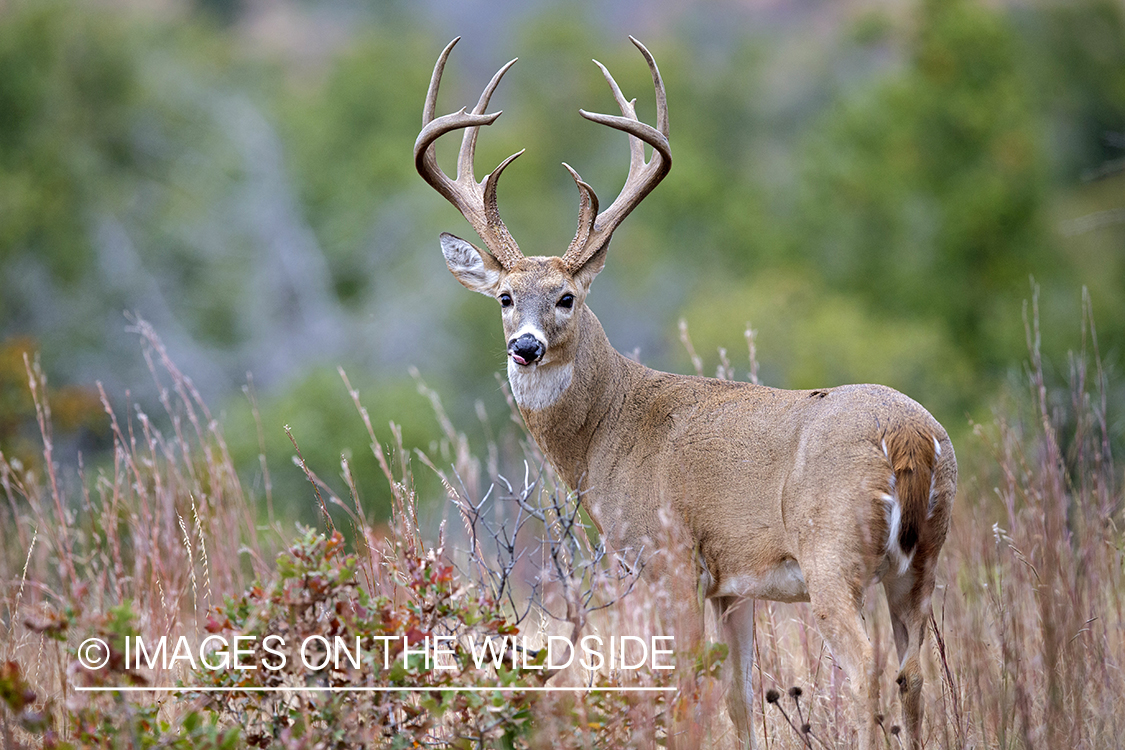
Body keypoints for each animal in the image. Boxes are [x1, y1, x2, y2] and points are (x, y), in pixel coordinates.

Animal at [414, 36, 958, 750]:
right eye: (504, 297)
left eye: (566, 297)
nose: (525, 347)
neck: (608, 430)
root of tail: (909, 436)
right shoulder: (733, 583)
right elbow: (739, 697)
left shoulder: (667, 558)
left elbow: (681, 693)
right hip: (921, 562)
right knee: (913, 671)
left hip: (832, 553)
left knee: (868, 664)